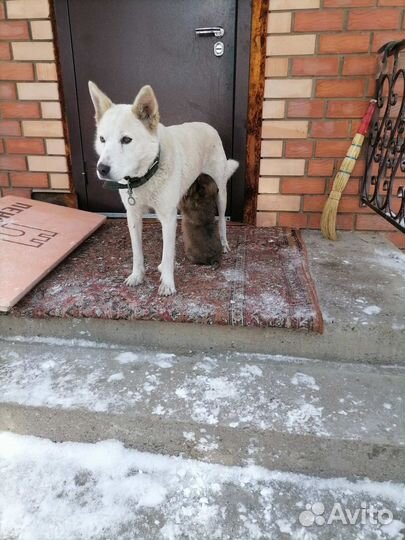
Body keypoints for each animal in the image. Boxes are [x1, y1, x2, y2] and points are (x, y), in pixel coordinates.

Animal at [87, 81, 237, 296]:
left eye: (126, 140)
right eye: (102, 139)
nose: (102, 169)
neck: (146, 174)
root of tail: (207, 125)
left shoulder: (167, 215)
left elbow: (167, 253)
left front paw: (167, 283)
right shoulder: (133, 215)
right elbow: (137, 252)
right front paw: (137, 276)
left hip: (221, 193)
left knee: (223, 221)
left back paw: (224, 243)